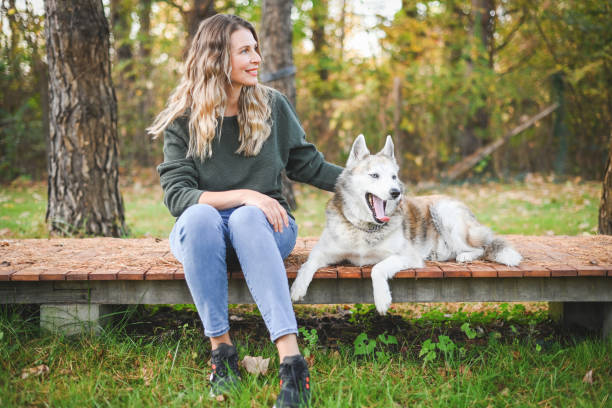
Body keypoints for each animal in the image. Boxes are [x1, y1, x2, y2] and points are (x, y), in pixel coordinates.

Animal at [292, 135, 520, 314]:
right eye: (374, 175)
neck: (366, 228)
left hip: (444, 213)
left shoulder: (407, 256)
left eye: (394, 177)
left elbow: (377, 268)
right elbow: (307, 264)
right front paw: (297, 288)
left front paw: (382, 299)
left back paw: (465, 256)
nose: (396, 192)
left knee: (480, 248)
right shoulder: (323, 252)